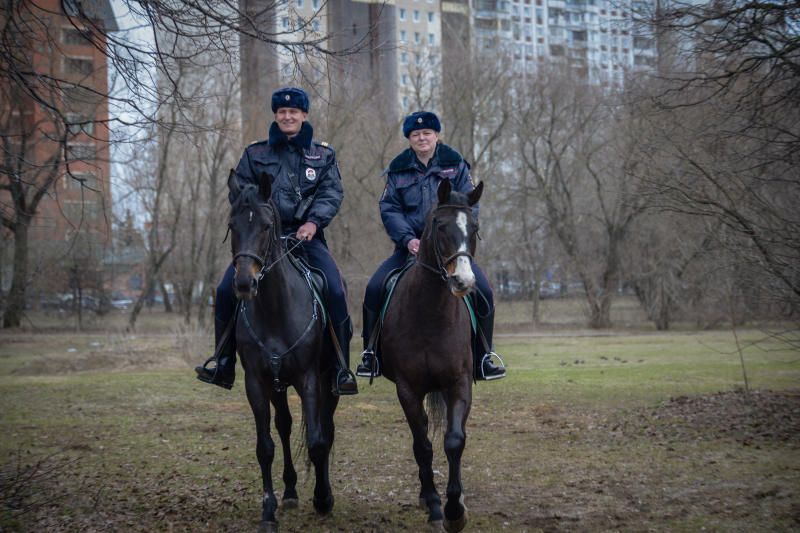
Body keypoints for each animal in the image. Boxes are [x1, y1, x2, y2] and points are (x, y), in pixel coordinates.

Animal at [227, 172, 340, 528]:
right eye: (232, 224)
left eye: (265, 226)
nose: (244, 283)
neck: (275, 309)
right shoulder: (256, 382)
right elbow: (265, 446)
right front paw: (268, 510)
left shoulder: (309, 380)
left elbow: (317, 442)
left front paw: (323, 498)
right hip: (278, 386)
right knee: (285, 426)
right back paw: (290, 492)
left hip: (327, 383)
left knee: (326, 430)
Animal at [380, 179, 484, 532]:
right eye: (440, 226)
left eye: (474, 228)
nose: (463, 281)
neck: (430, 313)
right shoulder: (407, 389)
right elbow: (423, 446)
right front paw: (438, 507)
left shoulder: (459, 383)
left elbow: (454, 441)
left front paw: (456, 509)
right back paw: (427, 497)